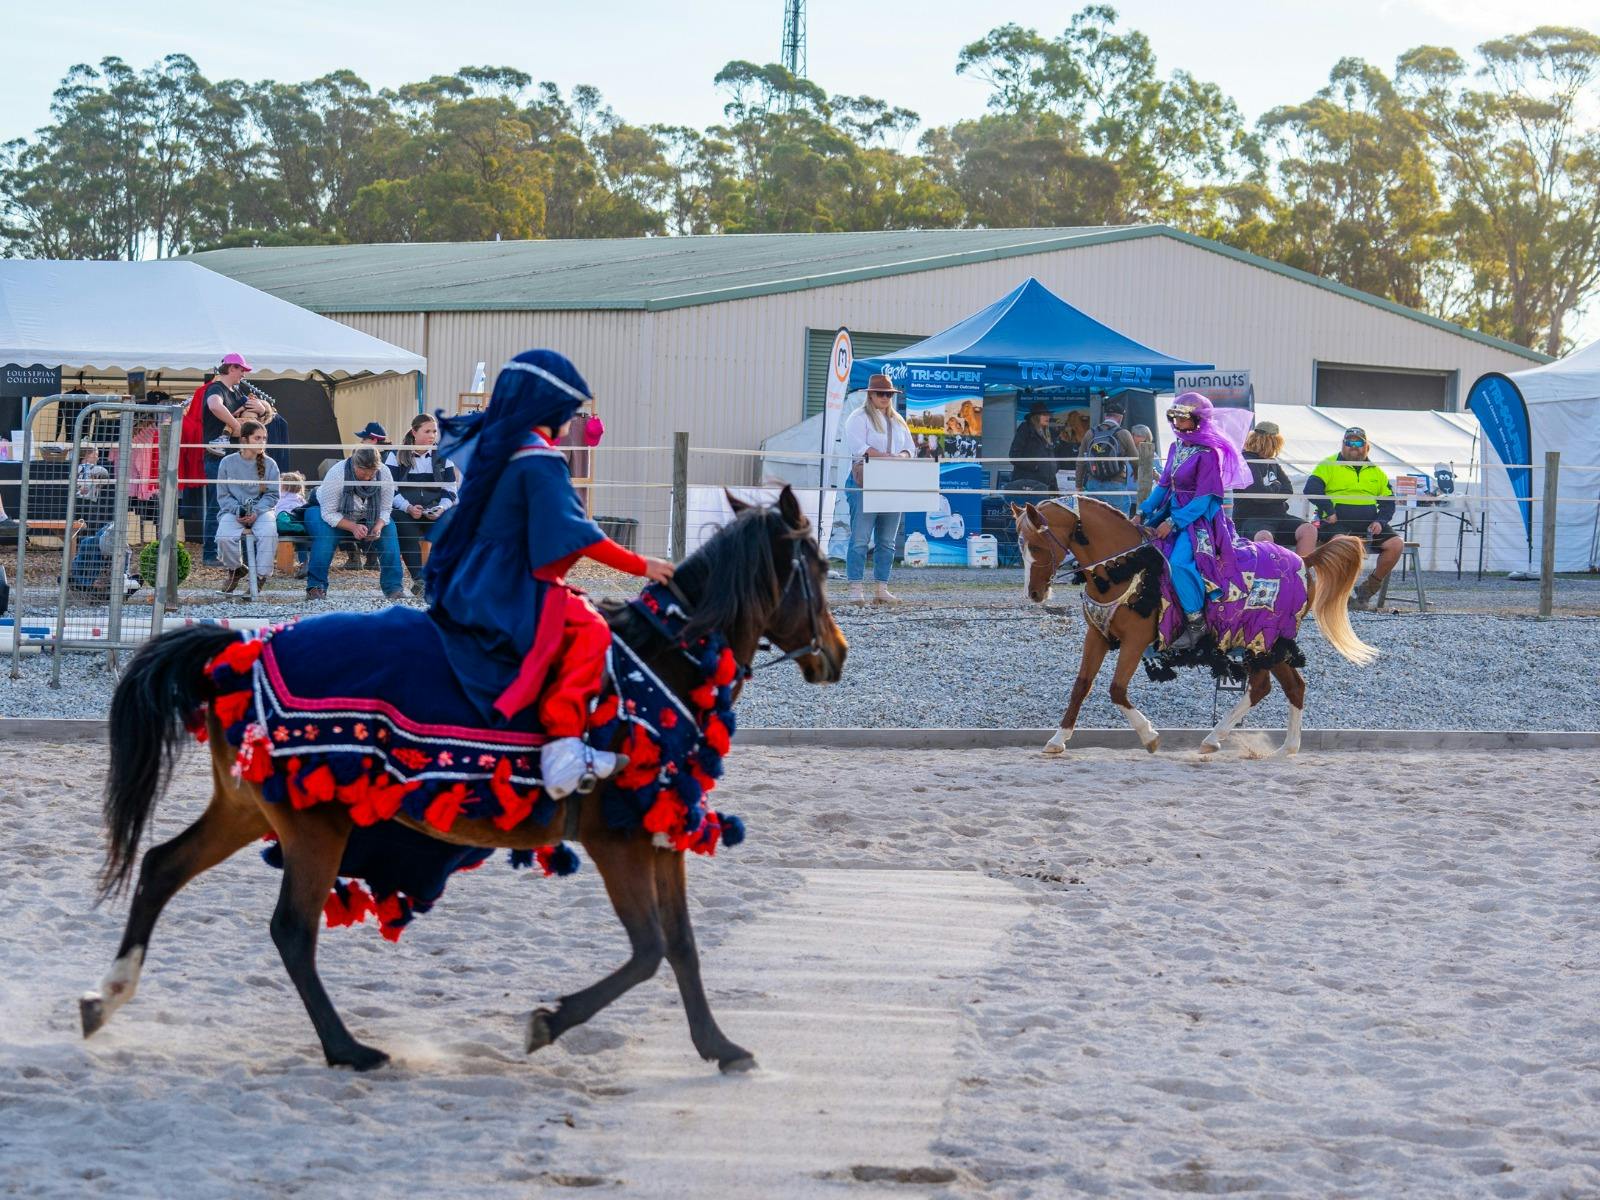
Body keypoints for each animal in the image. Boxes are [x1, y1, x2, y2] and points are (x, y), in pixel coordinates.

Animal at [81, 485, 846, 1074]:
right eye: (816, 567)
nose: (835, 653)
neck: (667, 661)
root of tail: (241, 647)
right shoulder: (619, 842)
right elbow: (650, 950)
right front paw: (548, 1022)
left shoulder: (659, 834)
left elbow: (682, 947)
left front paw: (720, 1046)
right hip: (313, 824)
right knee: (292, 930)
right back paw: (349, 1049)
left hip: (249, 808)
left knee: (161, 866)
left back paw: (106, 997)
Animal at [1010, 494, 1375, 757]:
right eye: (1019, 545)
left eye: (1038, 545)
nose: (1034, 593)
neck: (1124, 568)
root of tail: (1302, 559)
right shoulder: (1098, 635)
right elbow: (1081, 686)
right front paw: (1058, 739)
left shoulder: (1135, 640)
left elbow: (1116, 689)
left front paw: (1149, 737)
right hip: (1267, 646)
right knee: (1291, 687)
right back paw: (1286, 747)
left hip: (1262, 640)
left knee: (1264, 688)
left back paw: (1215, 739)